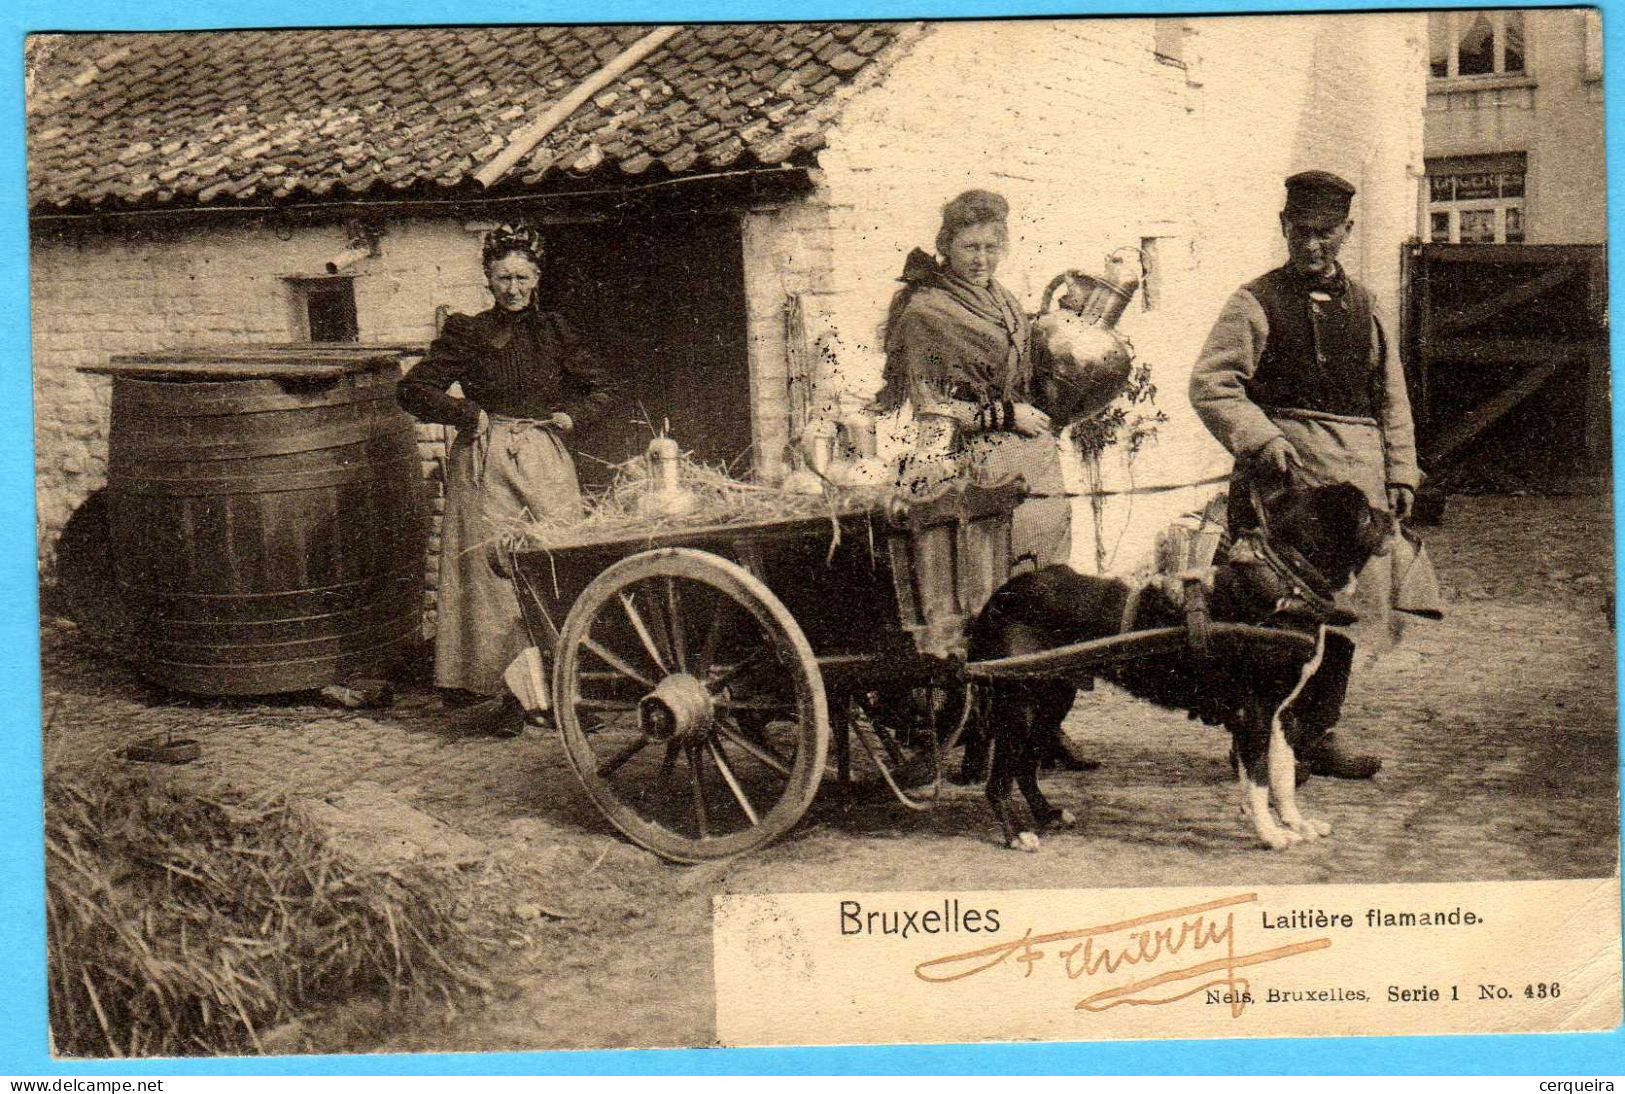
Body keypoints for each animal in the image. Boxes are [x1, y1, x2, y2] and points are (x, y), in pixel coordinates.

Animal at [962, 481, 1397, 851]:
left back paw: (1048, 814)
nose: (1393, 514)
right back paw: (1017, 833)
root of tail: (1000, 597)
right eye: (1364, 514)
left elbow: (1283, 777)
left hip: (1052, 700)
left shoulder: (1280, 716)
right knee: (998, 779)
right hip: (1019, 707)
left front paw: (1297, 824)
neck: (1285, 584)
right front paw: (1272, 835)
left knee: (1025, 768)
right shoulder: (1256, 714)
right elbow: (1259, 783)